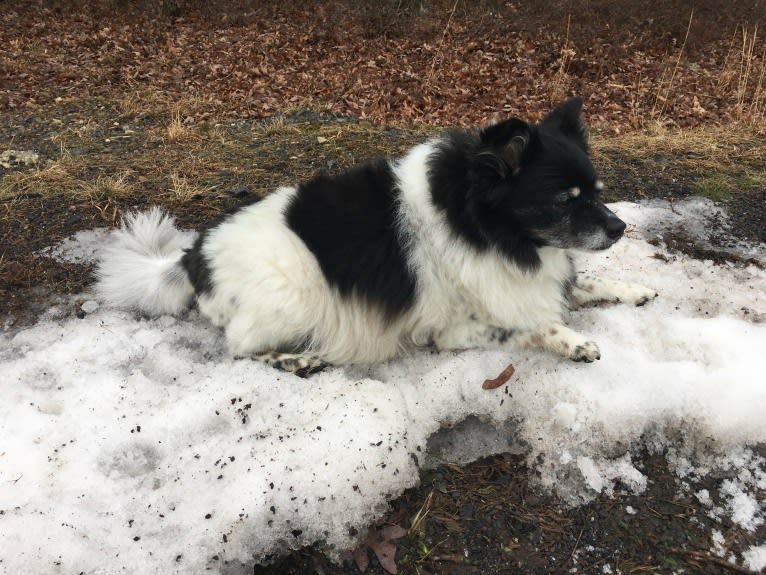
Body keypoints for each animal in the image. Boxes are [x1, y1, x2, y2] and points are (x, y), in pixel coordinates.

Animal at [96, 98, 660, 378]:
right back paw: (294, 359)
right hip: (290, 297)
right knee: (240, 346)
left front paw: (635, 290)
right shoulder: (457, 323)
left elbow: (581, 285)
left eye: (596, 194)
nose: (620, 227)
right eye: (565, 200)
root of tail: (192, 257)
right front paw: (570, 340)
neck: (476, 223)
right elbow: (523, 325)